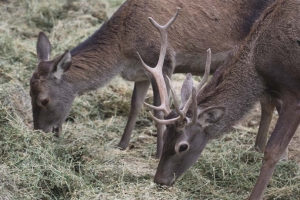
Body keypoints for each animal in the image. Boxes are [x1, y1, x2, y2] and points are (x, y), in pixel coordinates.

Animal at [29, 0, 276, 159]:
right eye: (29, 94)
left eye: (43, 100)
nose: (39, 132)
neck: (122, 50)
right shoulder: (142, 72)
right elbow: (135, 106)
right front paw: (122, 145)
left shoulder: (163, 61)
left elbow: (159, 110)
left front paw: (158, 153)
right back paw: (257, 149)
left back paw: (258, 149)